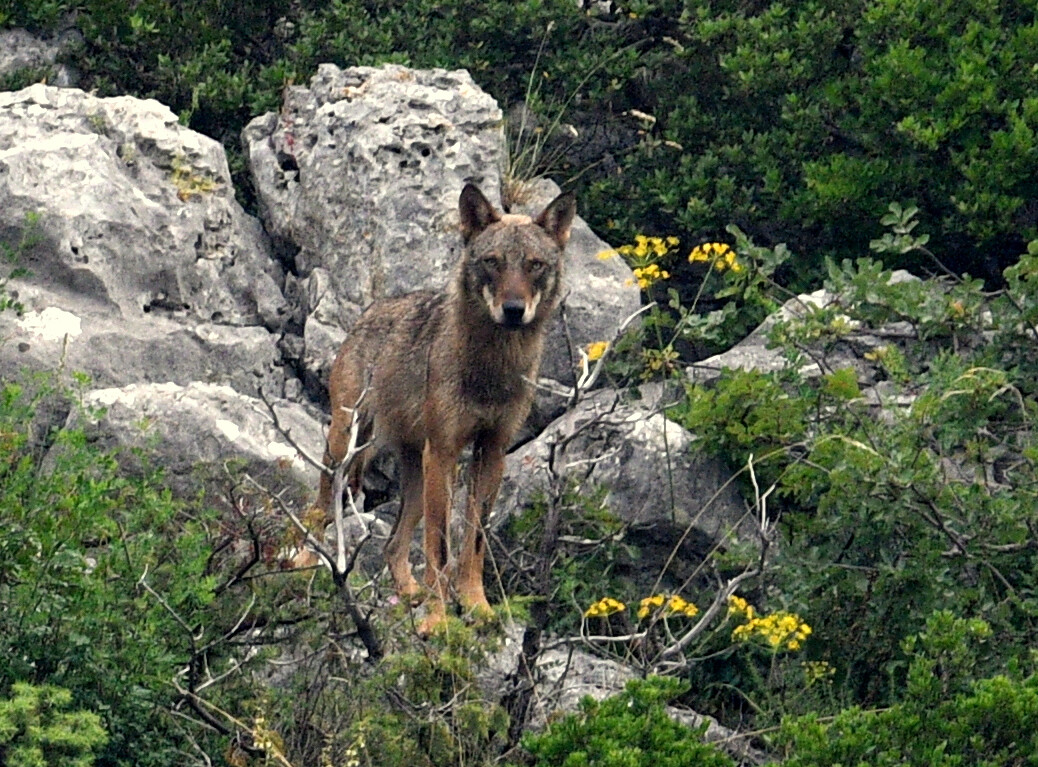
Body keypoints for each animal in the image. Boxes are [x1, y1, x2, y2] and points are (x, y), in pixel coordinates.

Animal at [315, 182, 577, 631]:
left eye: (535, 265)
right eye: (492, 262)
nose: (513, 311)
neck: (491, 369)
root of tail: (369, 312)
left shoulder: (491, 452)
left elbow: (474, 542)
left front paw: (476, 606)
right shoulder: (444, 452)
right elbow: (438, 547)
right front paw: (438, 621)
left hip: (414, 475)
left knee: (392, 546)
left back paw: (410, 595)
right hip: (349, 454)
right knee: (315, 515)